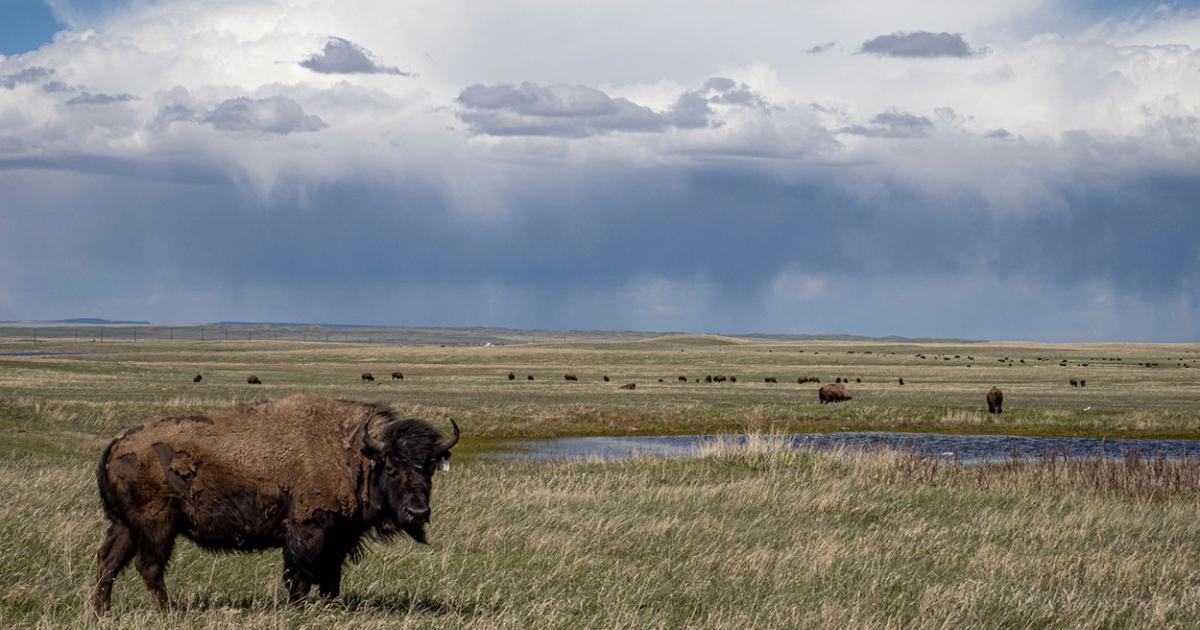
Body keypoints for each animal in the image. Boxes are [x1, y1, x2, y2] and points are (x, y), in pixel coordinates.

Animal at [92, 395, 459, 614]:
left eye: (429, 467)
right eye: (392, 467)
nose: (417, 511)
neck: (355, 455)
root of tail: (118, 441)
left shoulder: (338, 538)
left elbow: (331, 577)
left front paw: (330, 606)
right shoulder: (306, 533)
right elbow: (300, 575)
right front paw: (298, 608)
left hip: (125, 526)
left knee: (108, 562)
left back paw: (102, 612)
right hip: (158, 526)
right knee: (149, 566)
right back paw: (170, 611)